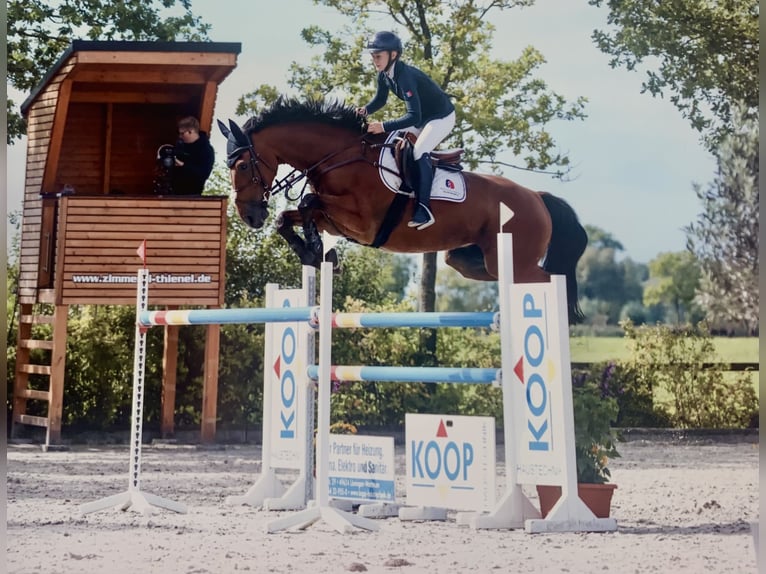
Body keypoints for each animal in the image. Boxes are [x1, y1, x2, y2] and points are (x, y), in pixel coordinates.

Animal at [219, 97, 588, 323]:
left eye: (241, 164)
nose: (249, 216)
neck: (340, 157)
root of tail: (537, 196)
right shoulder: (338, 220)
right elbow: (290, 216)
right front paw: (316, 253)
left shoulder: (362, 222)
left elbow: (307, 203)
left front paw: (319, 251)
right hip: (480, 259)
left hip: (515, 258)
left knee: (547, 279)